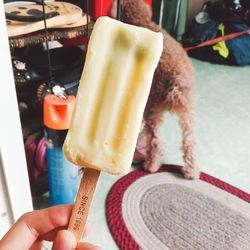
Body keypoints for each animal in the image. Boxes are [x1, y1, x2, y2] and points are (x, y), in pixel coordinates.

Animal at [110, 0, 198, 179]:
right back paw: (191, 172)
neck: (143, 21)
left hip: (153, 108)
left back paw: (151, 166)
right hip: (188, 113)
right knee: (189, 142)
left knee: (156, 141)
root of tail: (177, 82)